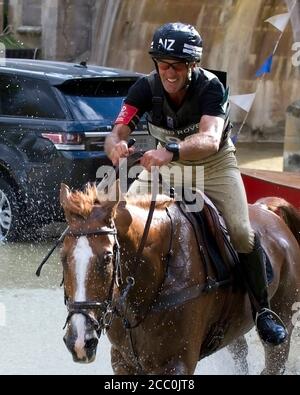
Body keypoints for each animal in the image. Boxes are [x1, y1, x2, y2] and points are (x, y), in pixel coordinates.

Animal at [59, 184, 300, 376]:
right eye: (63, 257)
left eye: (108, 258)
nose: (79, 341)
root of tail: (268, 211)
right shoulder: (122, 361)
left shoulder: (177, 364)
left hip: (285, 319)